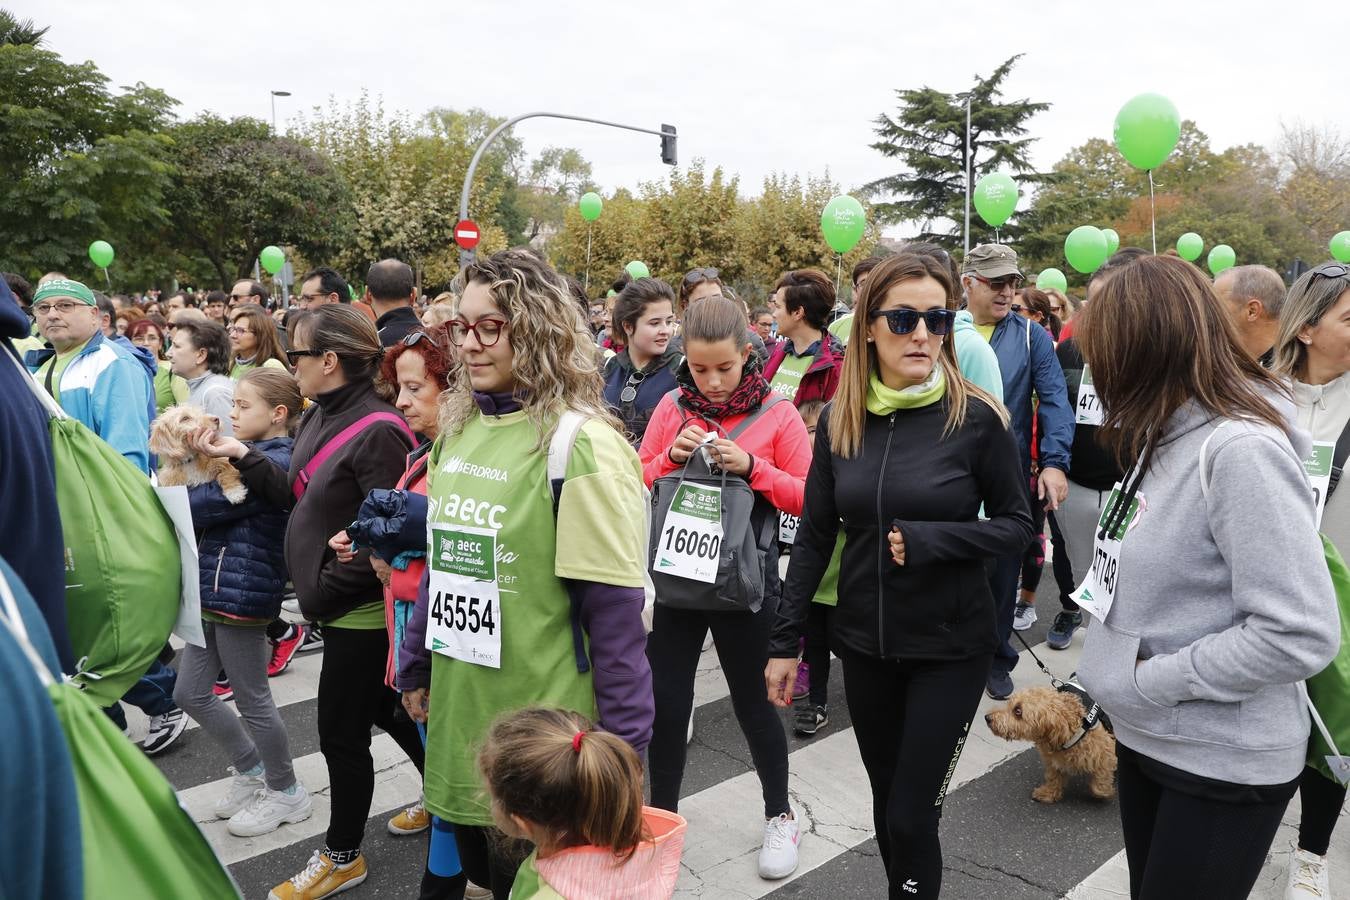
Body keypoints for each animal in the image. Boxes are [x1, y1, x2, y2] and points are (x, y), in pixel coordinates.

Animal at [982, 685, 1117, 804]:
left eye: (1018, 711)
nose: (988, 718)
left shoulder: (1107, 752)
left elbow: (1100, 781)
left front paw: (1105, 792)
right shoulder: (1053, 761)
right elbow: (1054, 777)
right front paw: (1048, 793)